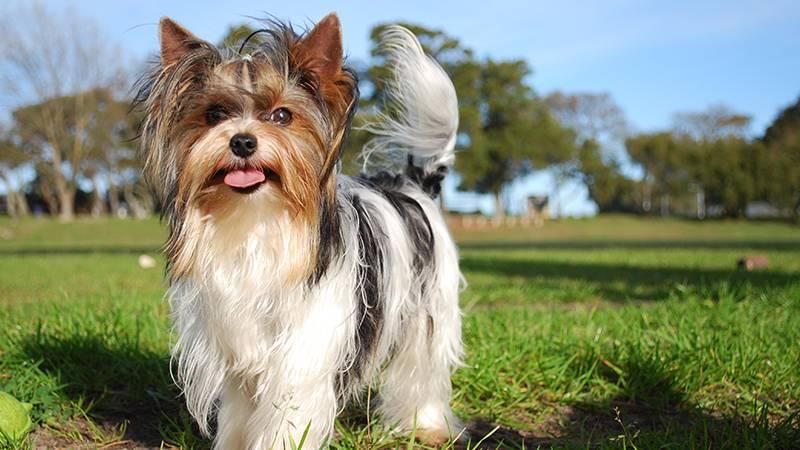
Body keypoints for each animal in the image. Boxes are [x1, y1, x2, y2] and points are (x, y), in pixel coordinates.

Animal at [136, 12, 462, 448]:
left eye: (282, 116)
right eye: (214, 115)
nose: (242, 142)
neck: (257, 220)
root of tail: (412, 183)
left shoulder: (305, 349)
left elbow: (288, 415)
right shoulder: (239, 351)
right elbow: (240, 410)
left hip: (428, 306)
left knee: (421, 366)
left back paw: (425, 425)